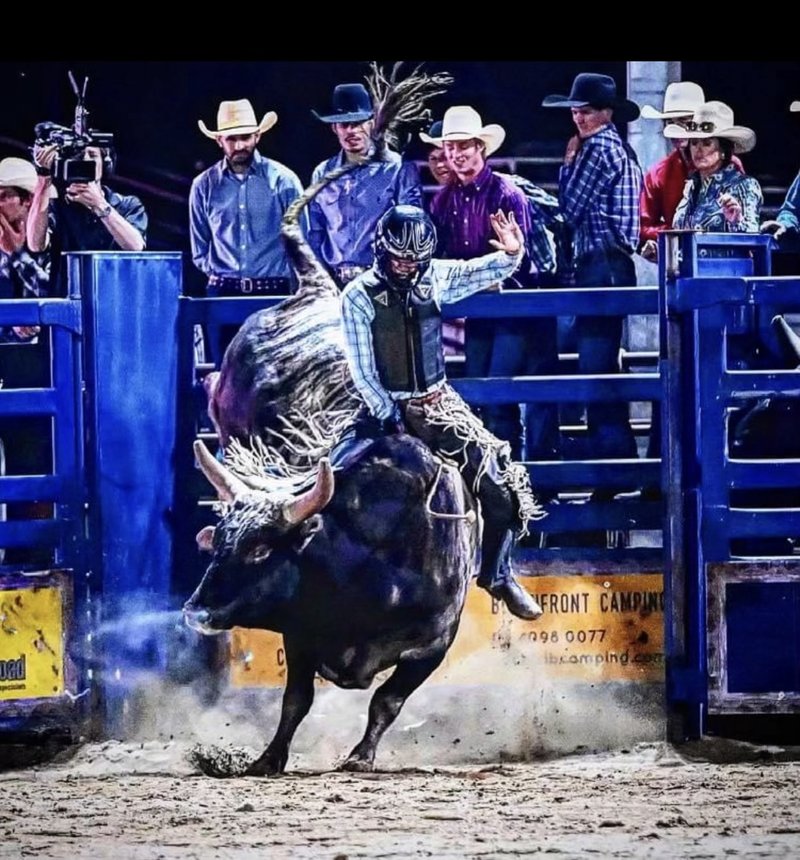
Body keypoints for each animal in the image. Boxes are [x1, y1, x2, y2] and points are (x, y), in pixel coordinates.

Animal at [184, 63, 496, 776]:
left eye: (263, 547)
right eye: (223, 542)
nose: (197, 610)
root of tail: (315, 285)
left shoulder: (435, 641)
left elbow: (388, 700)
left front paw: (360, 756)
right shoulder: (301, 632)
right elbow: (294, 700)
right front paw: (267, 759)